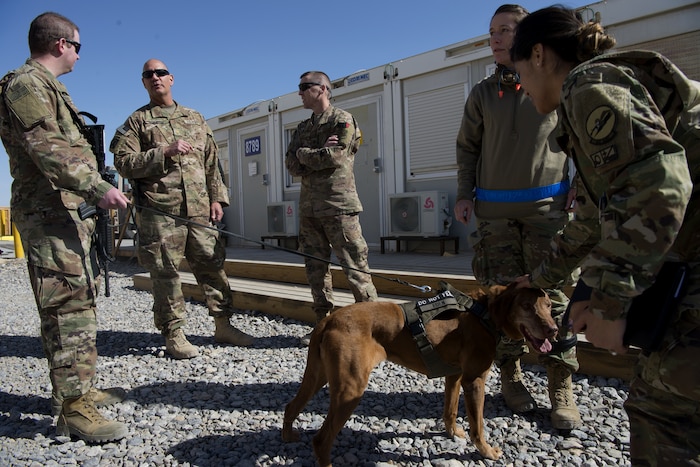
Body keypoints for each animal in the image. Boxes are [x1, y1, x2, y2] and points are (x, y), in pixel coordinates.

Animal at [280, 284, 556, 466]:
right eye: (526, 306)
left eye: (549, 306)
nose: (553, 330)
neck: (484, 310)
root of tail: (328, 320)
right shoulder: (475, 380)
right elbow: (478, 426)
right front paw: (486, 452)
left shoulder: (455, 376)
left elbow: (450, 411)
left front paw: (453, 433)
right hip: (350, 389)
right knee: (321, 440)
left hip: (318, 376)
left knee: (291, 406)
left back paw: (288, 436)